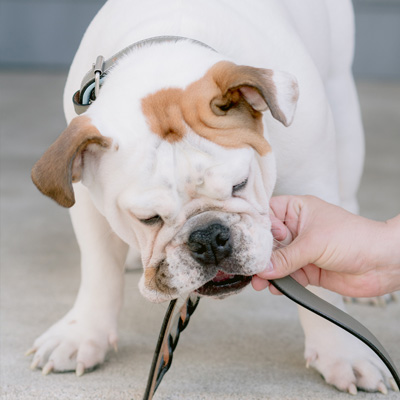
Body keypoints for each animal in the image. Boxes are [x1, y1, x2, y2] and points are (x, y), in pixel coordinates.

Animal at [29, 0, 392, 394]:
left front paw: (343, 353)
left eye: (240, 184)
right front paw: (81, 335)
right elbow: (99, 270)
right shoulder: (88, 206)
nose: (208, 237)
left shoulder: (311, 182)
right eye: (148, 218)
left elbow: (322, 287)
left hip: (342, 101)